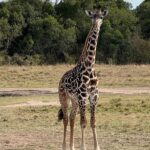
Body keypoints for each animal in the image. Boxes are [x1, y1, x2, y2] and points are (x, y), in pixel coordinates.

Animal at [57, 7, 108, 150]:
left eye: (101, 17)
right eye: (92, 17)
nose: (96, 25)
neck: (90, 66)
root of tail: (61, 79)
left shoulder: (94, 96)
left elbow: (93, 122)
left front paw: (97, 147)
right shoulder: (82, 96)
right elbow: (83, 122)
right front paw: (84, 147)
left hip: (74, 101)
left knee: (72, 118)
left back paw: (72, 146)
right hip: (64, 98)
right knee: (66, 119)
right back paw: (64, 146)